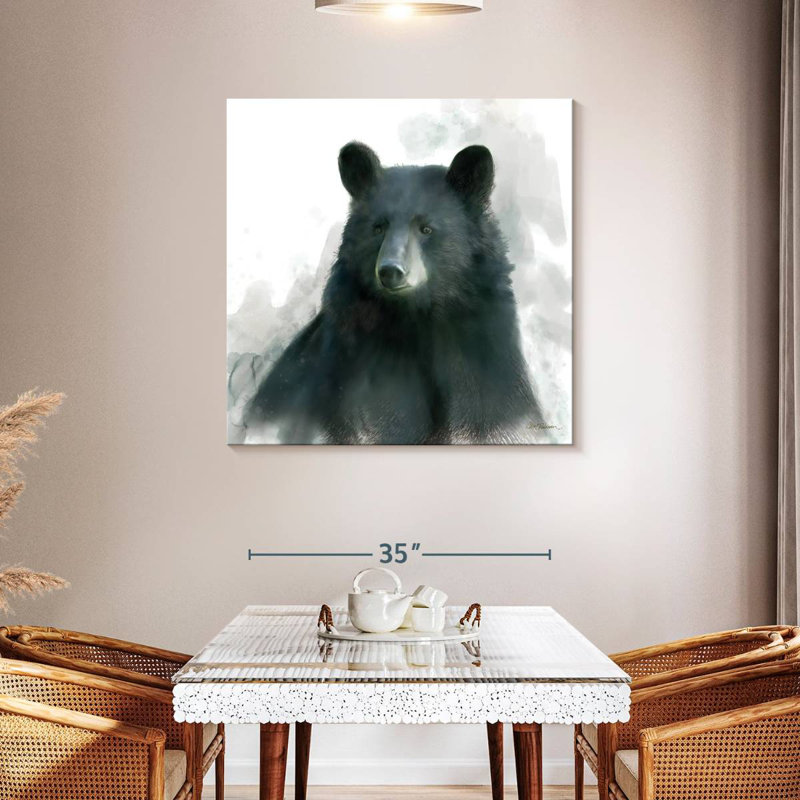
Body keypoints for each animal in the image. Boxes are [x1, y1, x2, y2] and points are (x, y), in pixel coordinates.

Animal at [245, 141, 544, 444]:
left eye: (426, 228)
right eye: (378, 227)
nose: (390, 270)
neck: (417, 318)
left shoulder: (482, 354)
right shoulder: (358, 365)